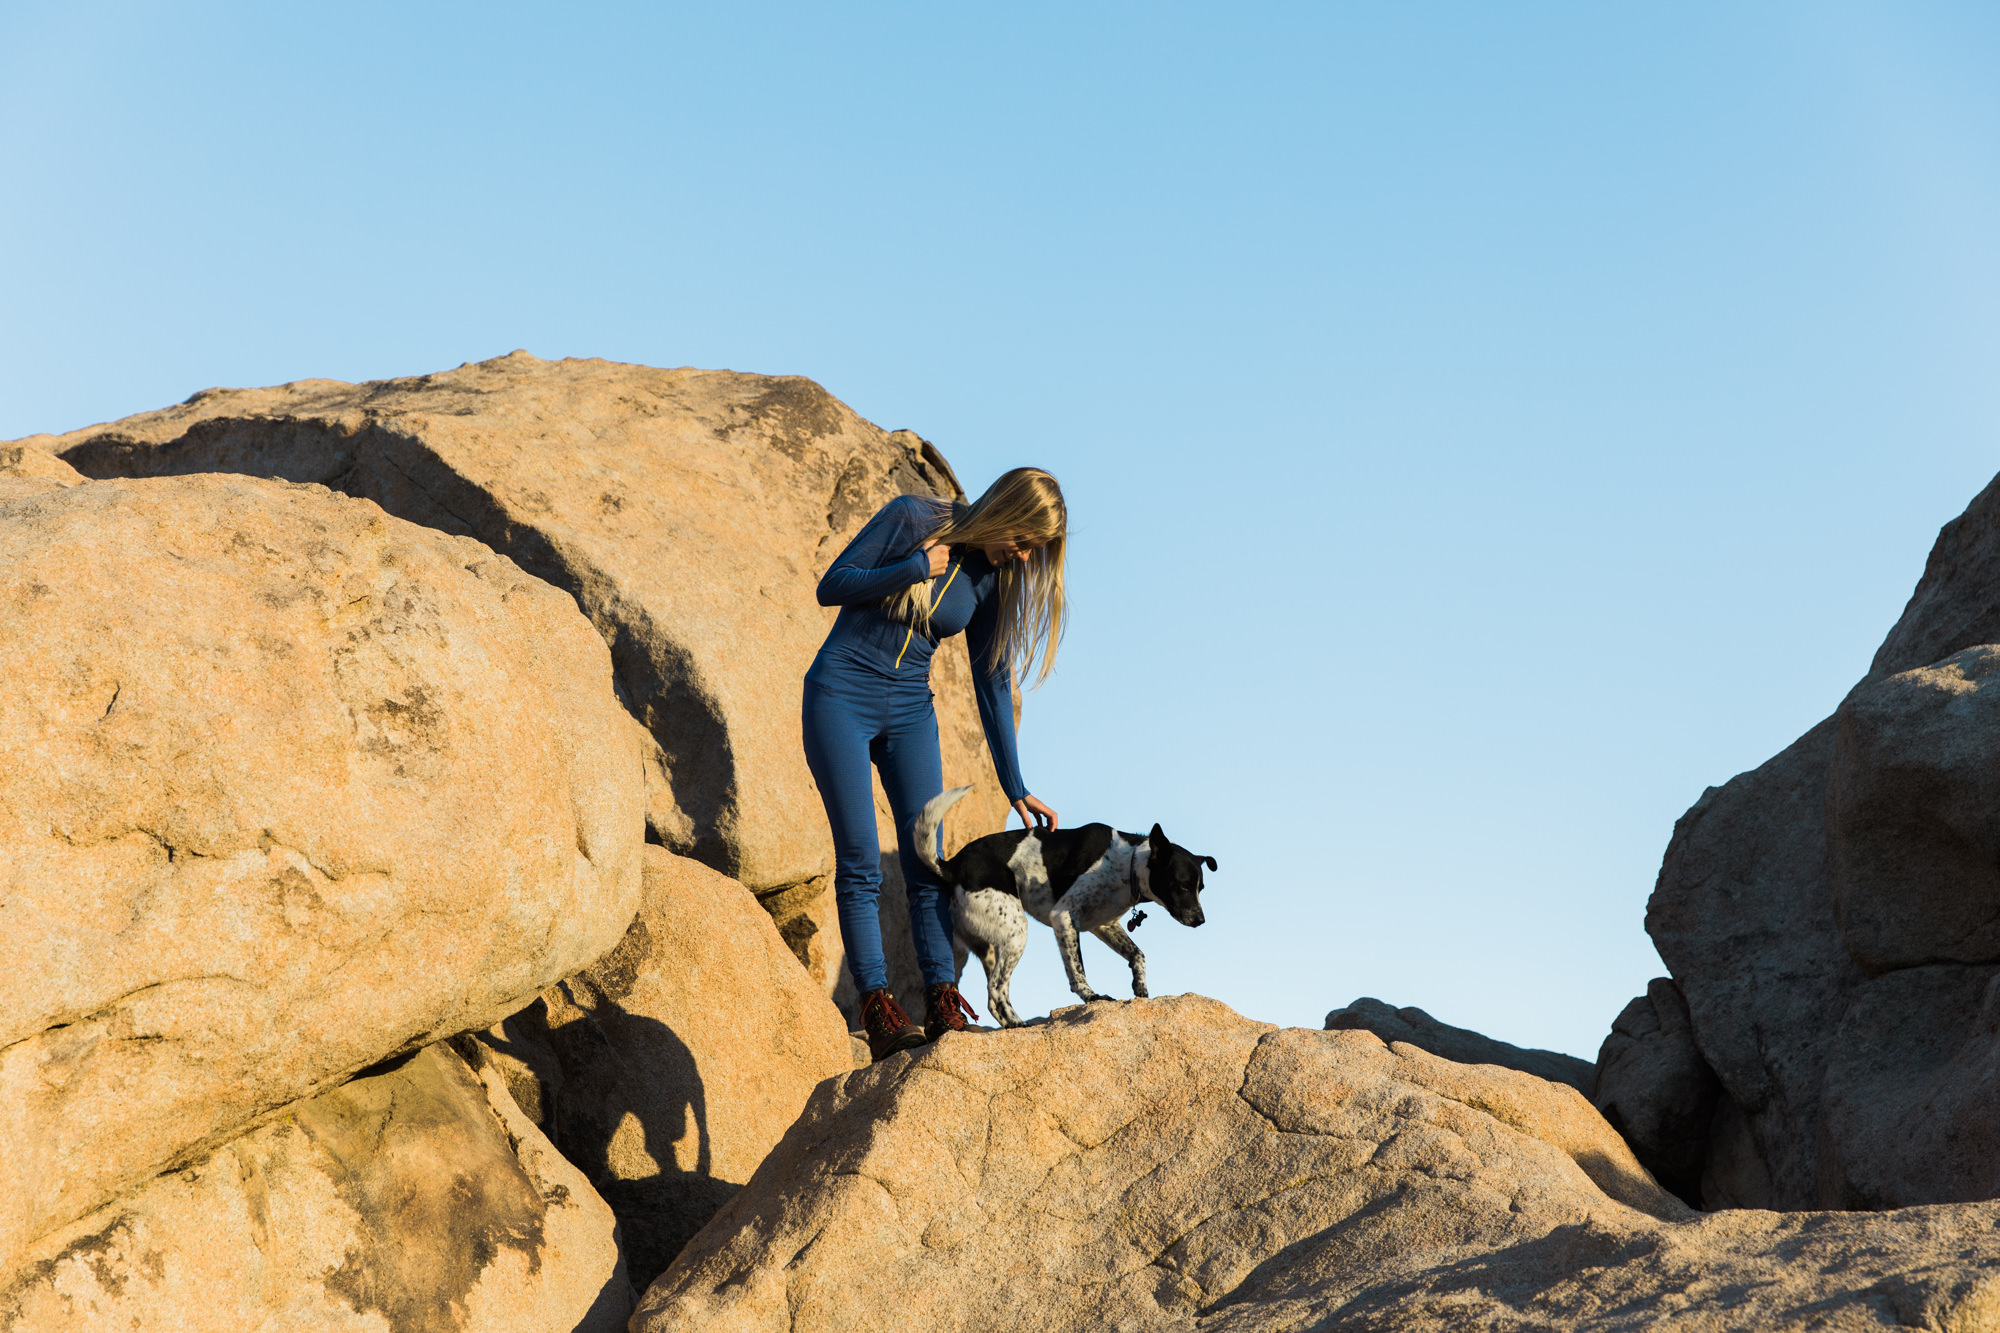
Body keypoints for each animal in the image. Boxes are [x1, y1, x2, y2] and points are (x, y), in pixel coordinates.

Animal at [912, 784, 1216, 1020]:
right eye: (1182, 885)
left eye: (1201, 888)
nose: (1201, 920)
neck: (1126, 863)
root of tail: (952, 866)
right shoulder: (1064, 917)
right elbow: (1077, 970)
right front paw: (1092, 997)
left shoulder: (1103, 925)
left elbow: (1137, 955)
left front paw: (1140, 987)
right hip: (1015, 933)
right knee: (996, 990)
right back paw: (1020, 1025)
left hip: (986, 946)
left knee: (989, 995)